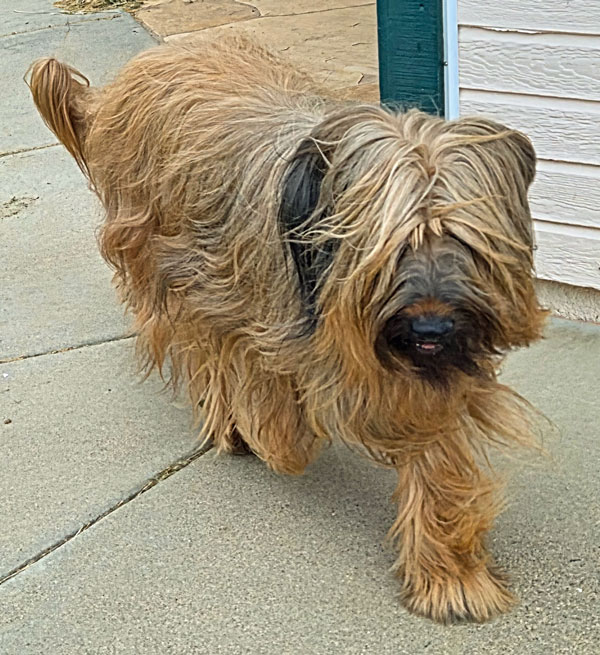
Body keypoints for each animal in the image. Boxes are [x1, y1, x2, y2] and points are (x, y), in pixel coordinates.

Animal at [28, 35, 546, 623]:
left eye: (463, 240)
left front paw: (452, 577)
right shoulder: (226, 296)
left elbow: (434, 449)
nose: (431, 327)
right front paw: (273, 434)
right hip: (159, 251)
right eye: (392, 246)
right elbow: (252, 378)